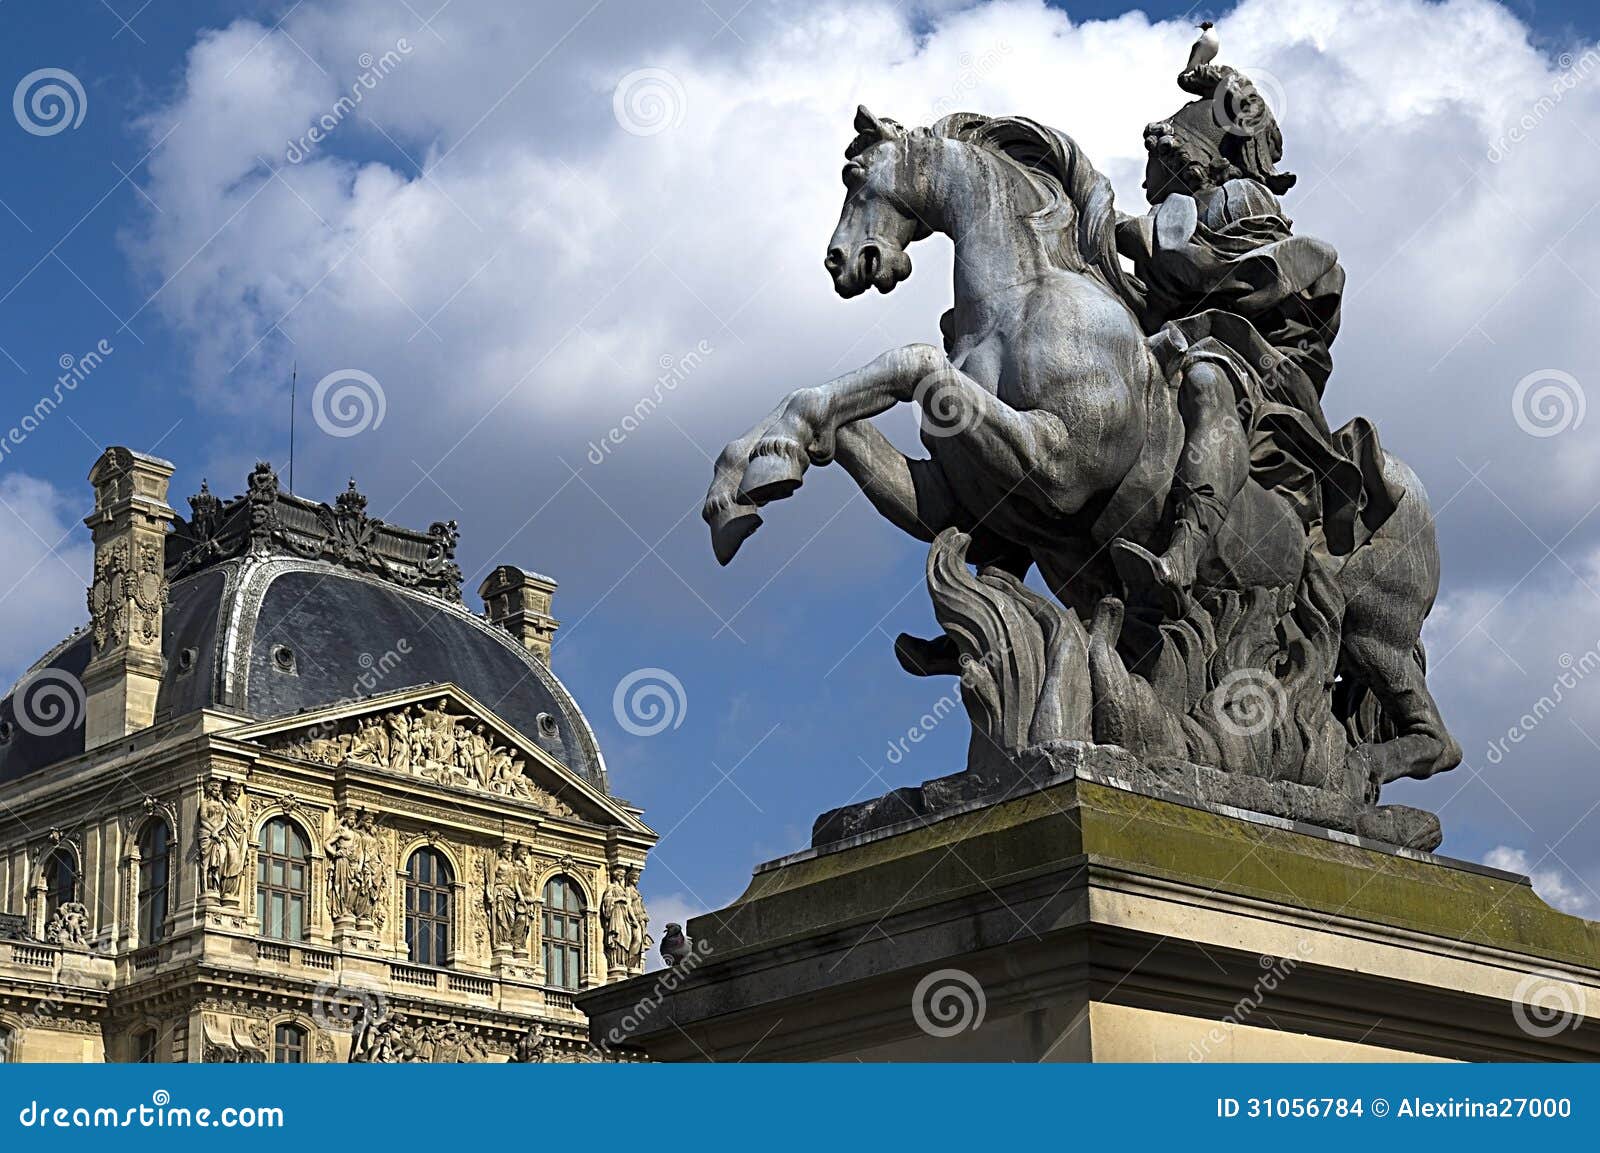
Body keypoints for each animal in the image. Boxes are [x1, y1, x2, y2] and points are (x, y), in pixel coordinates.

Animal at [707, 107, 1459, 786]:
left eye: (854, 174)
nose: (843, 260)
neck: (1018, 303)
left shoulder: (1059, 460)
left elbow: (913, 358)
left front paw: (759, 464)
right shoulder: (953, 502)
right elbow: (849, 407)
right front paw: (748, 474)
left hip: (1376, 629)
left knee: (1434, 741)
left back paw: (1356, 768)